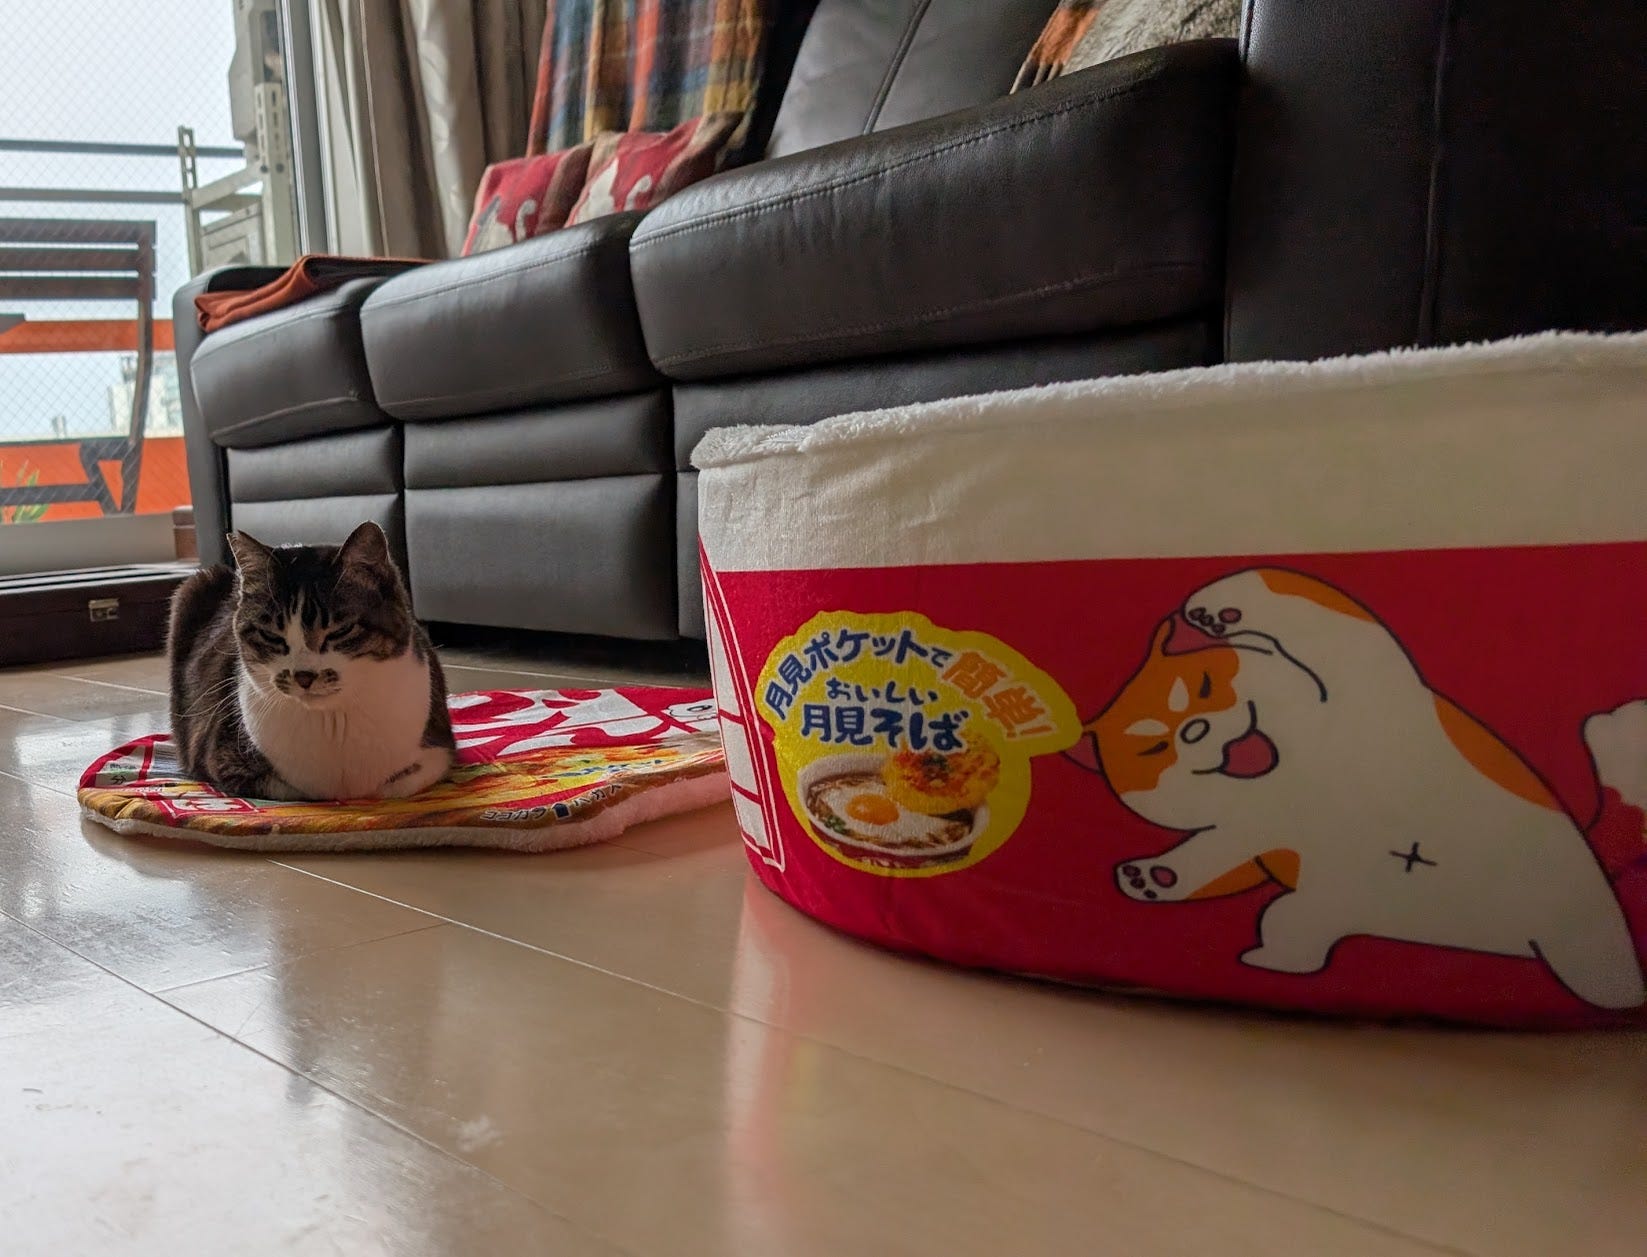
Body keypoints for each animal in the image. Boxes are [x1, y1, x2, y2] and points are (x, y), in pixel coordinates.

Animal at [168, 521, 455, 801]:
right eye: (270, 635)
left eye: (341, 631)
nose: (303, 676)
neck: (333, 720)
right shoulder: (221, 757)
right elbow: (302, 791)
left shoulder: (441, 749)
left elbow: (394, 787)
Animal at [1066, 567, 1646, 1011]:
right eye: (1154, 748)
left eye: (1205, 687)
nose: (1194, 729)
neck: (1281, 776)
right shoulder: (1248, 834)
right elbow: (1205, 856)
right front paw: (1152, 877)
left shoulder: (1366, 674)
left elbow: (1317, 608)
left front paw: (1221, 611)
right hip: (1317, 910)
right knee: (1294, 933)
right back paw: (1268, 960)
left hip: (1585, 928)